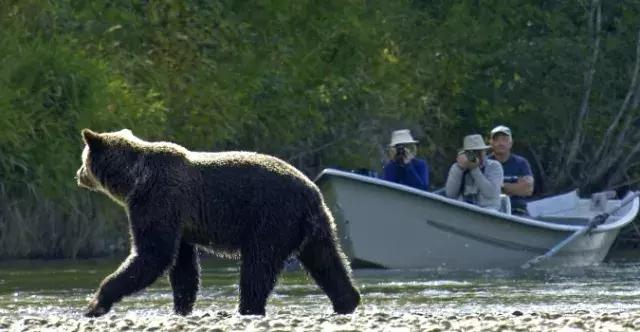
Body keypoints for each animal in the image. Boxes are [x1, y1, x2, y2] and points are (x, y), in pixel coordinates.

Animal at [75, 129, 360, 316]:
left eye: (83, 159)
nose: (78, 175)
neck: (133, 181)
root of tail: (312, 192)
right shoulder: (180, 221)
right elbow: (182, 266)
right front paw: (181, 307)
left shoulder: (158, 200)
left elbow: (153, 254)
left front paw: (96, 303)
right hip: (314, 226)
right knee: (327, 261)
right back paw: (348, 300)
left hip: (271, 219)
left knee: (258, 266)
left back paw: (247, 307)